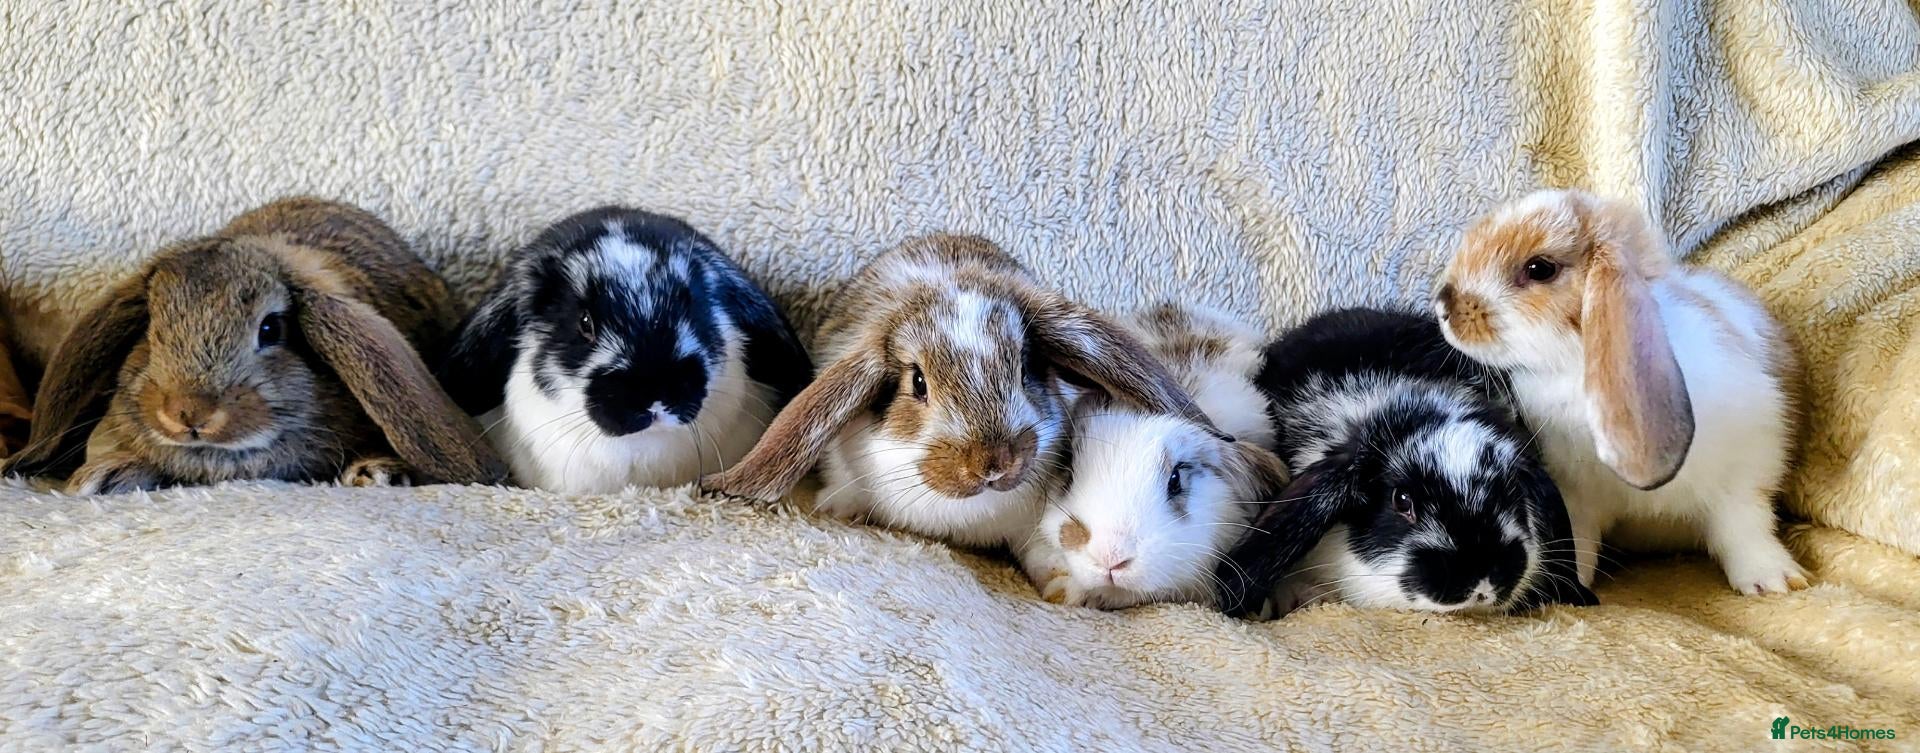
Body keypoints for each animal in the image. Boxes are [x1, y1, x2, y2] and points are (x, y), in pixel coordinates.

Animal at [1433, 189, 1808, 595]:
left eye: (1539, 268)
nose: (1443, 304)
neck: (1572, 367)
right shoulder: (1573, 496)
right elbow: (1578, 542)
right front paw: (1565, 588)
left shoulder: (1746, 471)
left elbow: (1745, 527)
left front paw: (1773, 581)